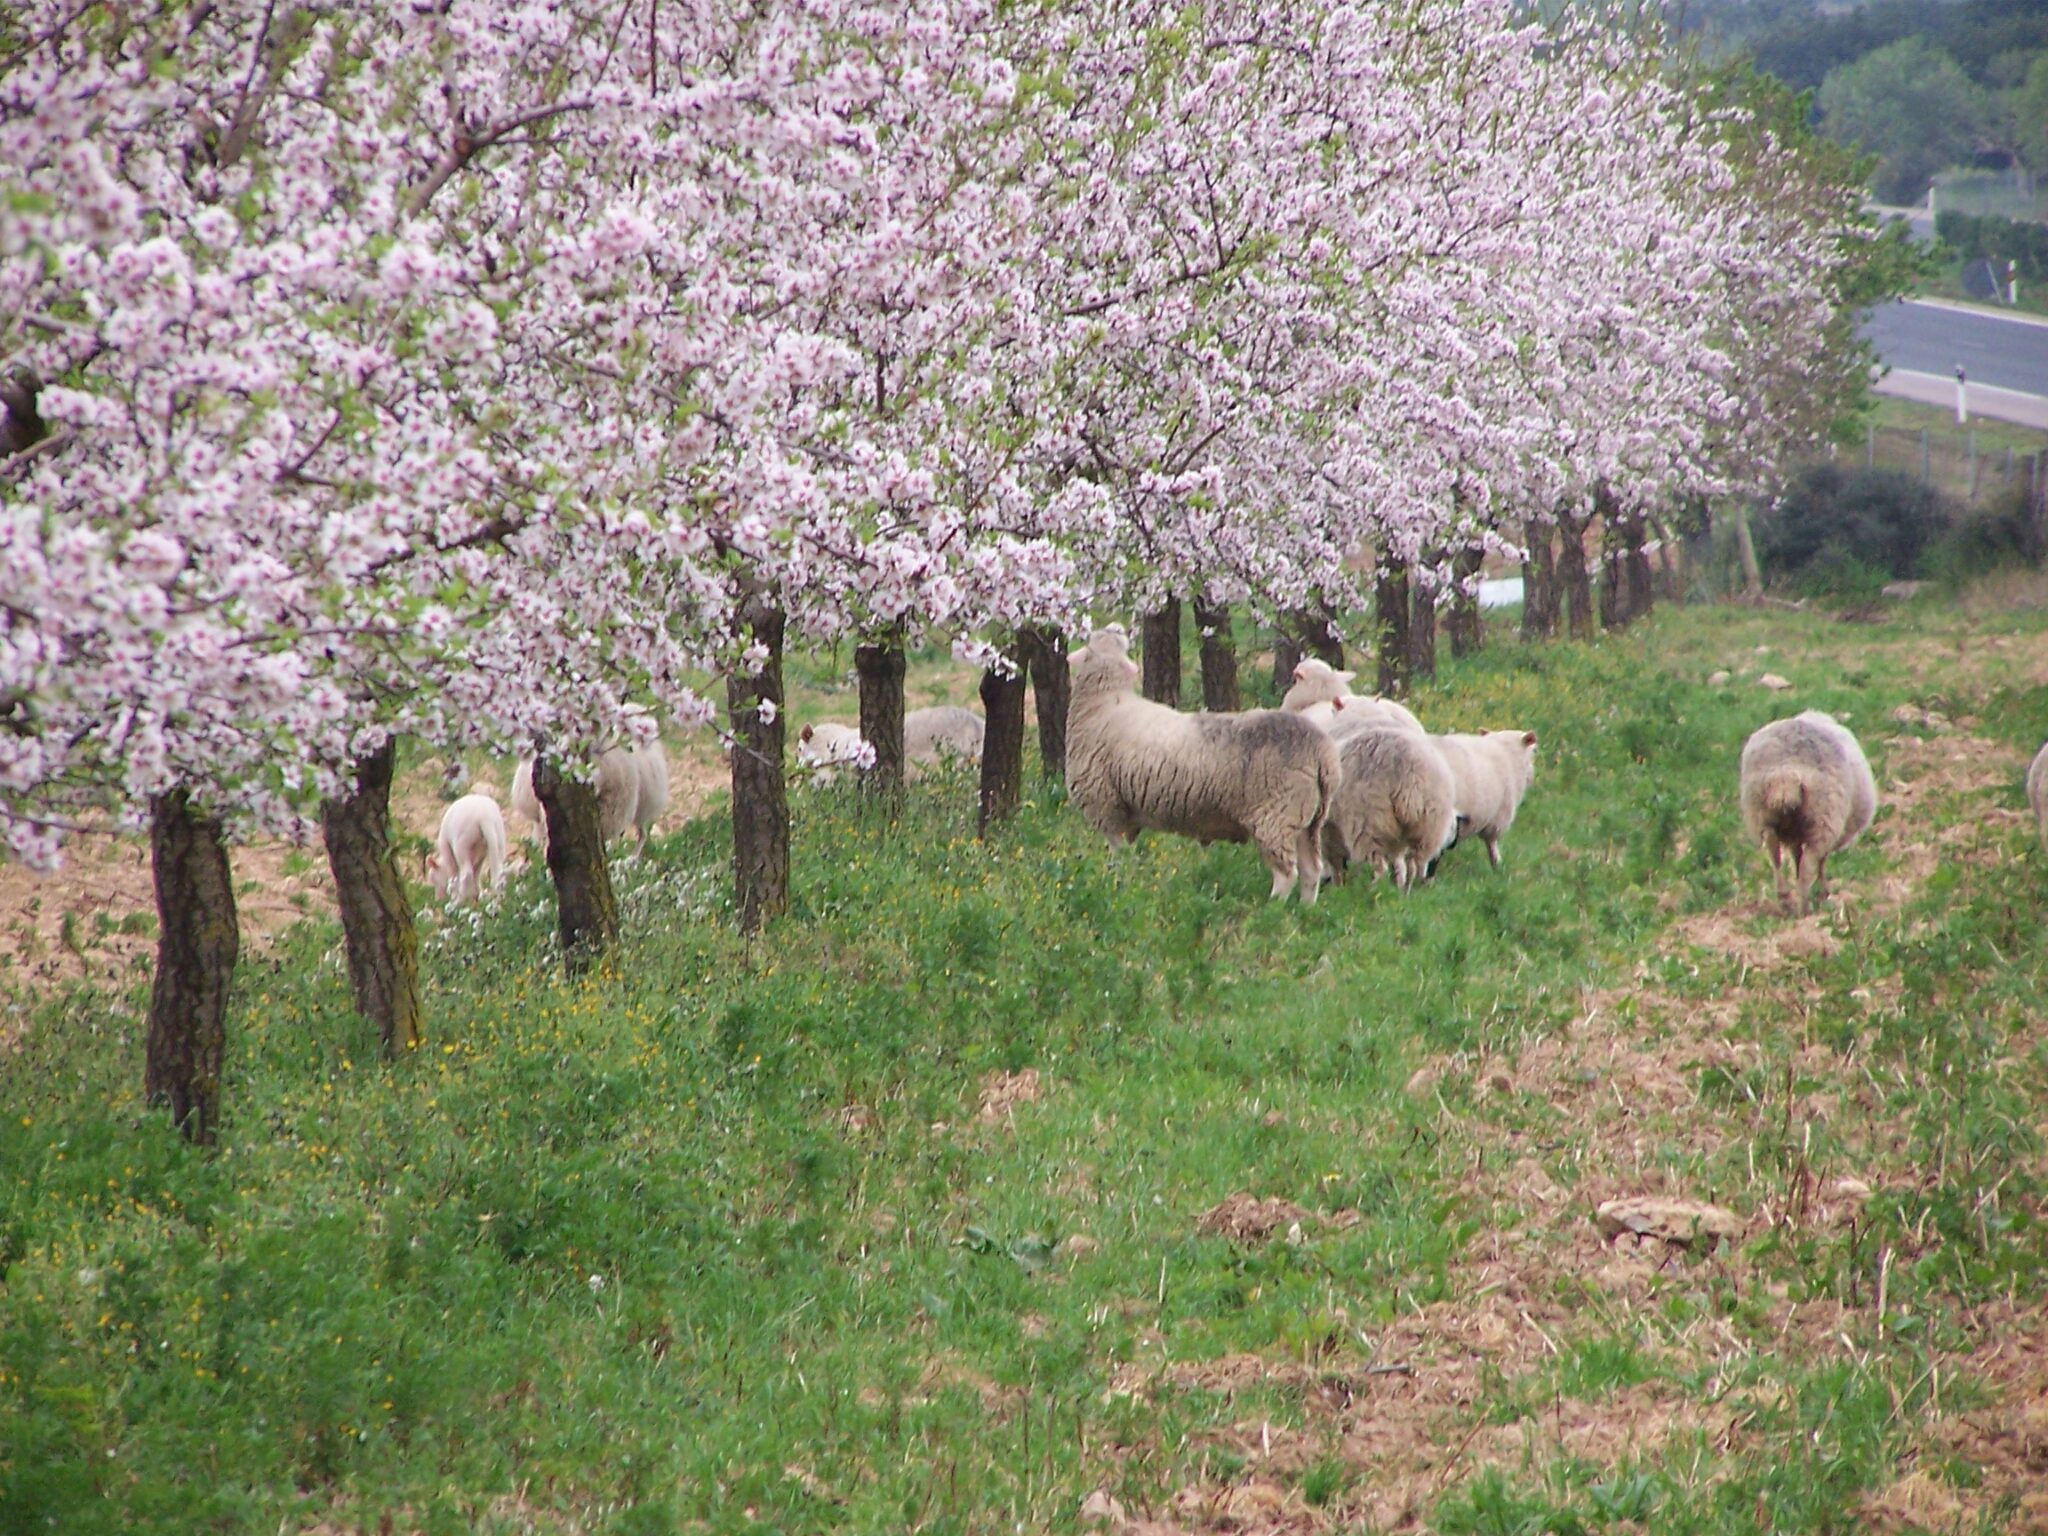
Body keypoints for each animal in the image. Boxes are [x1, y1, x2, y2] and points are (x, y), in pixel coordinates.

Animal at [1056, 634, 1343, 909]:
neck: (1105, 702)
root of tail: (1322, 753)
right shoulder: (1126, 817)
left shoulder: (1107, 808)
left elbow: (1119, 858)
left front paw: (1119, 888)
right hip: (1307, 820)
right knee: (1311, 871)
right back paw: (1305, 911)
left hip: (1277, 817)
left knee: (1286, 874)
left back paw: (1272, 908)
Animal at [1327, 729, 1458, 897]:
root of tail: (1410, 774)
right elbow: (1398, 865)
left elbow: (1333, 864)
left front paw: (1336, 890)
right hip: (1429, 825)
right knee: (1413, 864)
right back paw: (1405, 894)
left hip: (1368, 824)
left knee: (1378, 868)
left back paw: (1371, 894)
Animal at [1425, 729, 1540, 872]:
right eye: (1534, 750)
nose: (1532, 777)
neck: (1508, 754)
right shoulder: (1498, 817)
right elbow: (1491, 842)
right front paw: (1497, 865)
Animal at [1736, 708, 1875, 913]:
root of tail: (1786, 773)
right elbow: (1820, 863)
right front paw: (1824, 891)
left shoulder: (1795, 834)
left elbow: (1796, 856)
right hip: (1823, 820)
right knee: (1807, 868)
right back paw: (1805, 907)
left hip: (1761, 815)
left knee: (1775, 855)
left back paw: (1785, 898)